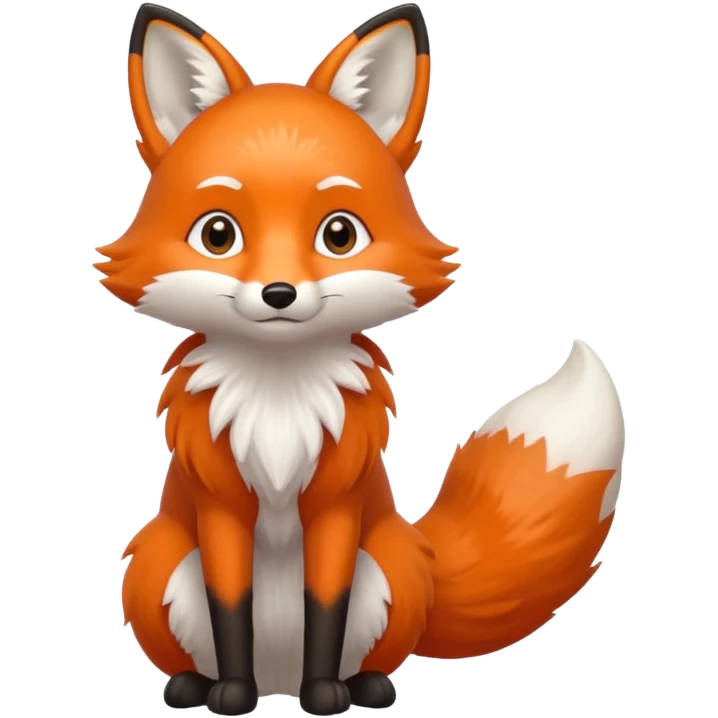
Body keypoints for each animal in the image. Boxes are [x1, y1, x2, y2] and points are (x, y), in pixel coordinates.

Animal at [99, 3, 627, 716]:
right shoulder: (221, 508)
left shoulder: (338, 507)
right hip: (161, 562)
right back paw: (198, 685)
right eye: (218, 234)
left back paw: (363, 685)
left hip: (389, 567)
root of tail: (278, 677)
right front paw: (231, 694)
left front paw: (326, 695)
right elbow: (229, 604)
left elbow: (327, 601)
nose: (279, 294)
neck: (278, 400)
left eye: (339, 234)